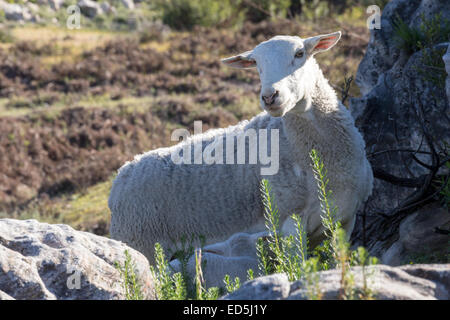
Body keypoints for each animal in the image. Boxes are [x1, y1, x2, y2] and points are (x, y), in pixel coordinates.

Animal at [108, 31, 372, 264]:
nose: (270, 96)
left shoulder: (345, 220)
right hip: (139, 240)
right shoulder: (289, 221)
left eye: (299, 54)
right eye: (256, 63)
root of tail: (124, 171)